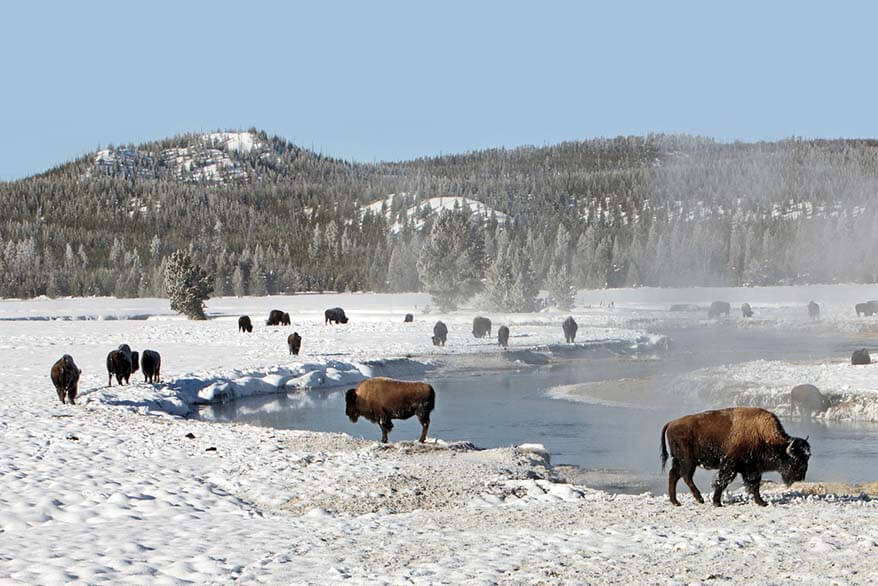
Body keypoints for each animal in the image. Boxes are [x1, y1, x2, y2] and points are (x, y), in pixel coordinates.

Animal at [660, 406, 812, 506]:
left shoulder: (752, 469)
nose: (800, 477)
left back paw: (676, 502)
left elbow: (755, 485)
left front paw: (762, 502)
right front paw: (717, 502)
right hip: (688, 461)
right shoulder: (730, 466)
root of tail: (671, 423)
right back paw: (699, 499)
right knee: (685, 476)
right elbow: (722, 482)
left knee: (674, 475)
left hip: (679, 461)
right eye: (796, 459)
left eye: (807, 458)